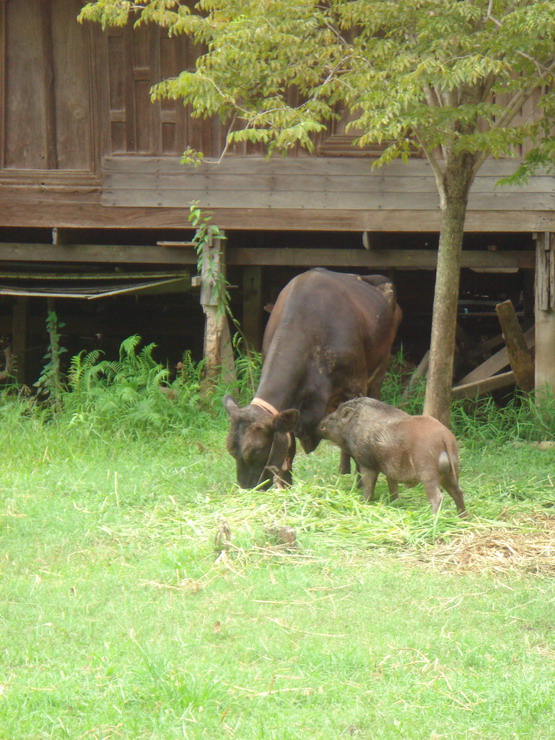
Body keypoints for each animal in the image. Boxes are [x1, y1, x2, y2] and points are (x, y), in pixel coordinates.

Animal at [224, 268, 402, 488]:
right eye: (231, 451)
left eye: (255, 451)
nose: (248, 489)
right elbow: (289, 448)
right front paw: (286, 486)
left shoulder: (355, 387)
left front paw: (361, 484)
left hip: (379, 369)